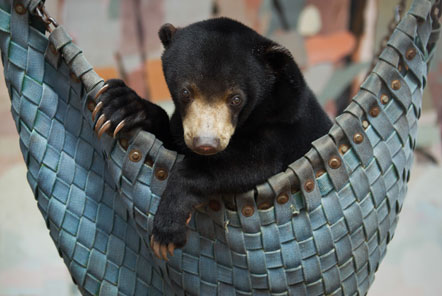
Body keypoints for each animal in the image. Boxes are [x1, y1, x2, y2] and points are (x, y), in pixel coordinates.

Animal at [93, 17, 332, 260]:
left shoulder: (284, 126)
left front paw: (166, 232)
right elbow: (170, 137)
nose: (206, 144)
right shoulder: (180, 128)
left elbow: (253, 163)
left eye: (236, 99)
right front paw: (120, 105)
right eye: (186, 92)